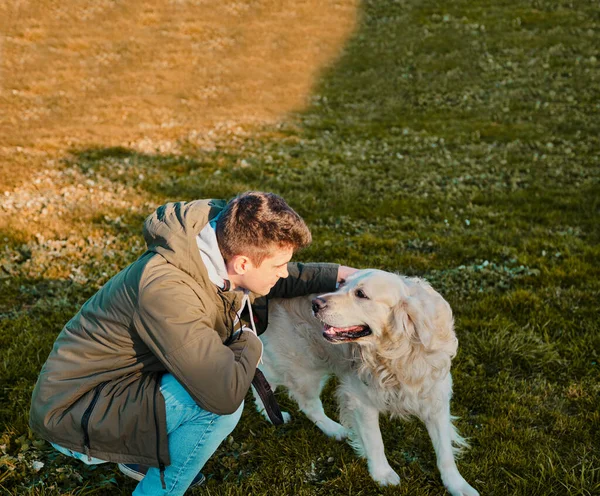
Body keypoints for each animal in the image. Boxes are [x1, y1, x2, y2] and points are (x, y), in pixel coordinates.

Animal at [253, 270, 478, 496]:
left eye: (360, 294)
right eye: (341, 283)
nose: (315, 303)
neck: (398, 354)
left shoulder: (436, 396)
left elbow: (445, 451)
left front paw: (457, 484)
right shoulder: (361, 400)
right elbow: (375, 442)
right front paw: (382, 474)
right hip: (304, 367)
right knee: (301, 400)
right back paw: (333, 429)